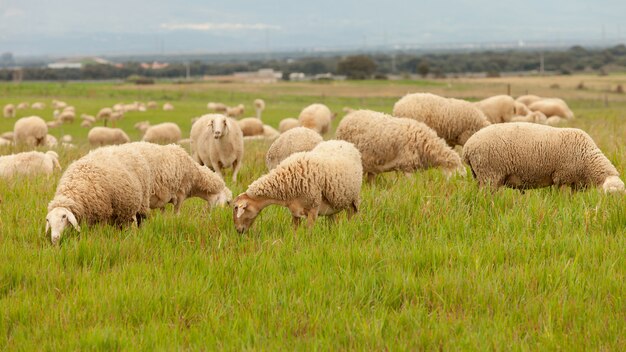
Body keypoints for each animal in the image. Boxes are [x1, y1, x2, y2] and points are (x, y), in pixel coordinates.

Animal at [232, 140, 364, 234]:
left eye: (236, 208)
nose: (238, 231)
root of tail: (344, 142)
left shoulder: (313, 209)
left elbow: (309, 233)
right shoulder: (295, 211)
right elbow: (294, 232)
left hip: (353, 200)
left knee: (352, 217)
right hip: (332, 203)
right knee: (332, 220)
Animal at [460, 122, 620, 194]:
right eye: (609, 196)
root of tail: (468, 147)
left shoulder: (575, 182)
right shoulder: (562, 177)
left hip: (480, 176)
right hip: (490, 174)